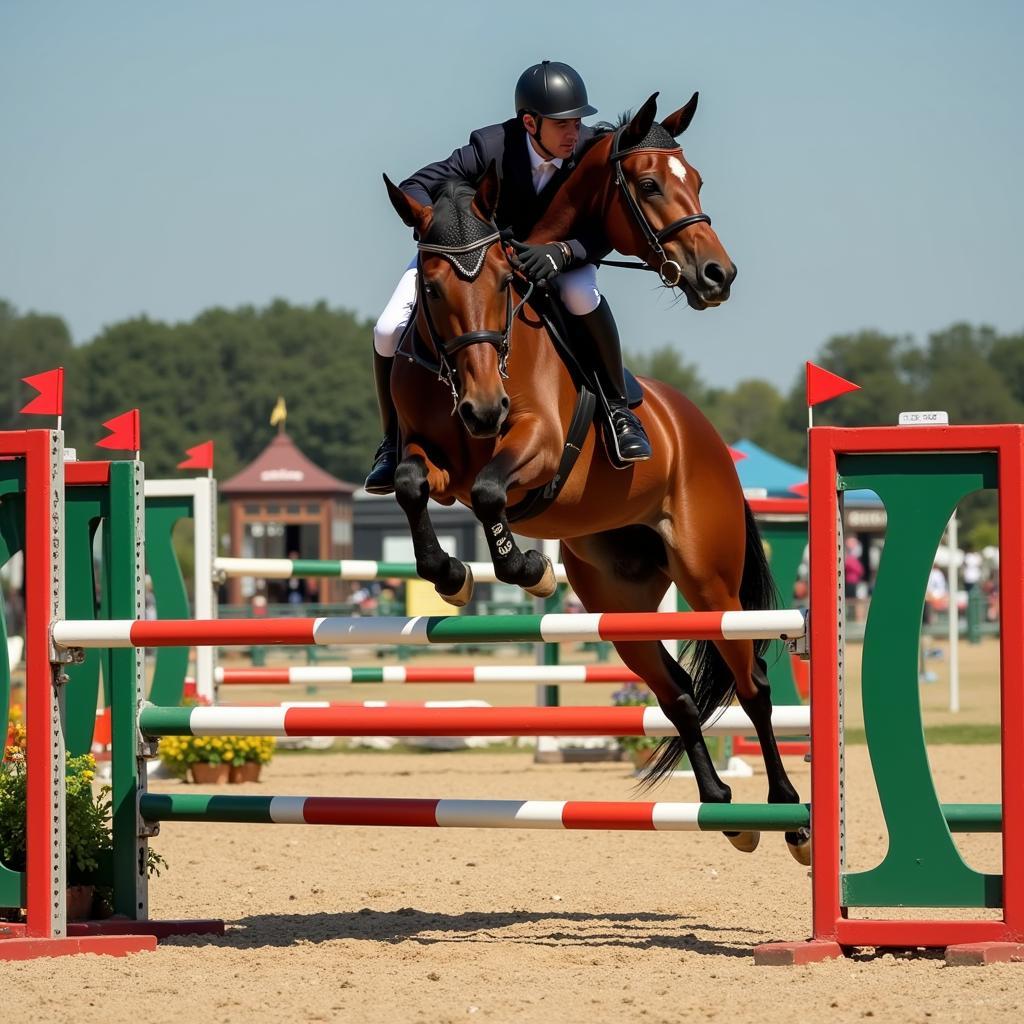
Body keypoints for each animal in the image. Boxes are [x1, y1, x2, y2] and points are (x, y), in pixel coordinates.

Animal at [382, 90, 806, 864]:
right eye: (431, 285)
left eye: (693, 179)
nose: (717, 276)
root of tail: (704, 435)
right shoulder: (430, 454)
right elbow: (411, 483)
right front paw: (453, 575)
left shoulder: (540, 446)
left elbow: (489, 489)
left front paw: (523, 569)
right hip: (621, 599)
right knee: (677, 691)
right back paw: (722, 807)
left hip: (711, 582)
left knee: (752, 683)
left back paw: (790, 818)